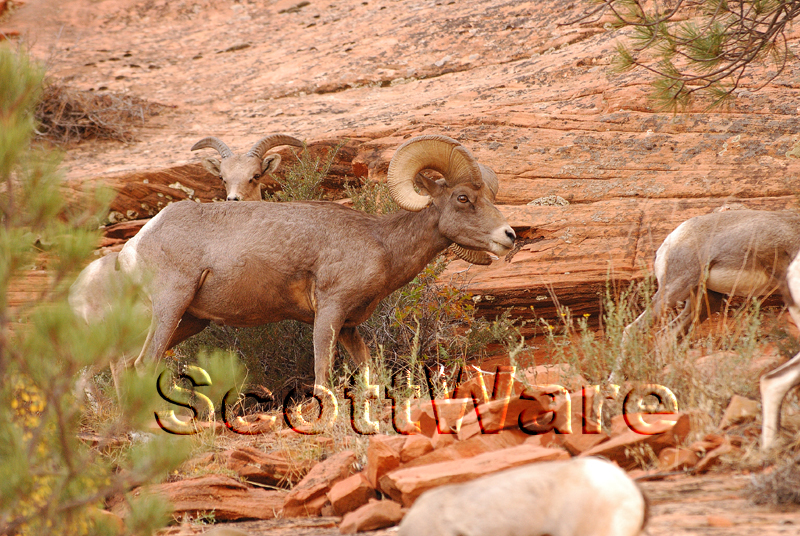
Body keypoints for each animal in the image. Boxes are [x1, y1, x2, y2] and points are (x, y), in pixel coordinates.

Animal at [112, 135, 515, 390]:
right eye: (463, 198)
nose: (509, 235)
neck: (380, 243)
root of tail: (136, 244)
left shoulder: (350, 327)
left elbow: (369, 375)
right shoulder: (329, 313)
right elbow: (322, 379)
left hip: (189, 320)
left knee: (124, 364)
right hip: (171, 306)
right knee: (143, 364)